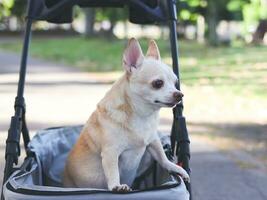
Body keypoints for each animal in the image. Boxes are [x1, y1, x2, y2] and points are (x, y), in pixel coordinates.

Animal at [63, 38, 191, 192]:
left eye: (175, 82)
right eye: (158, 83)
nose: (180, 94)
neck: (141, 115)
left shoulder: (153, 140)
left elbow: (162, 157)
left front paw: (174, 167)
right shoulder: (110, 153)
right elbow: (113, 172)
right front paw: (116, 186)